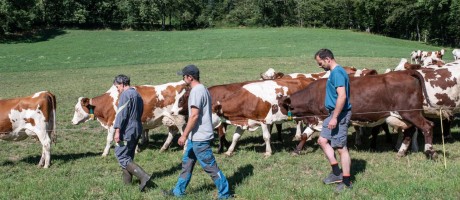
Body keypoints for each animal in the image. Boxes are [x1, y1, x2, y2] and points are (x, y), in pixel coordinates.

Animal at [278, 71, 436, 159]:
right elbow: (305, 135)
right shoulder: (316, 119)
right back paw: (401, 152)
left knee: (427, 126)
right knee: (409, 131)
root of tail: (406, 73)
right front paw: (296, 151)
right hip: (404, 116)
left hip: (411, 113)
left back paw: (430, 152)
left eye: (277, 106)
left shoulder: (325, 118)